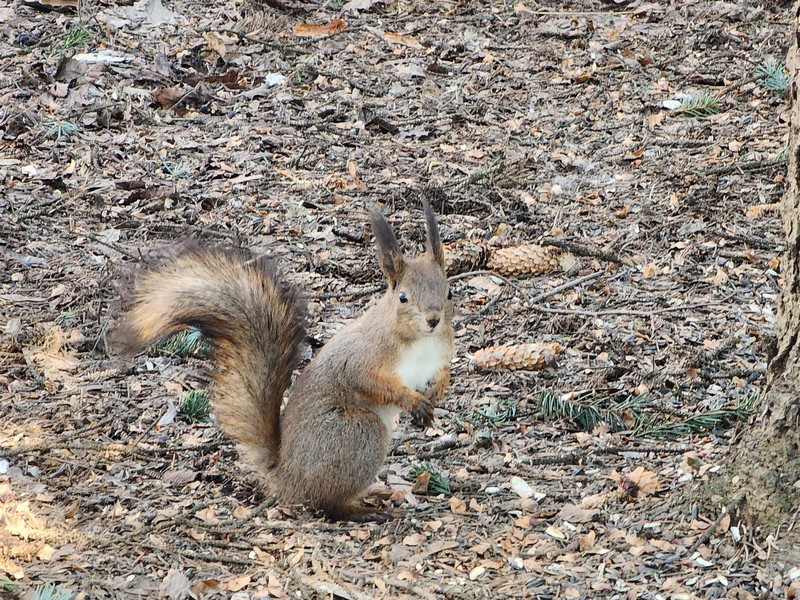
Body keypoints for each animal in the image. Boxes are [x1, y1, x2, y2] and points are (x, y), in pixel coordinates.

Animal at [117, 200, 454, 521]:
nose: (433, 319)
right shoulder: (363, 357)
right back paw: (362, 510)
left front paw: (435, 393)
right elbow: (369, 381)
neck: (420, 341)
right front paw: (414, 402)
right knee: (327, 503)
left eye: (449, 292)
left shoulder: (441, 353)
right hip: (358, 433)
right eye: (403, 297)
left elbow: (443, 372)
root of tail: (287, 477)